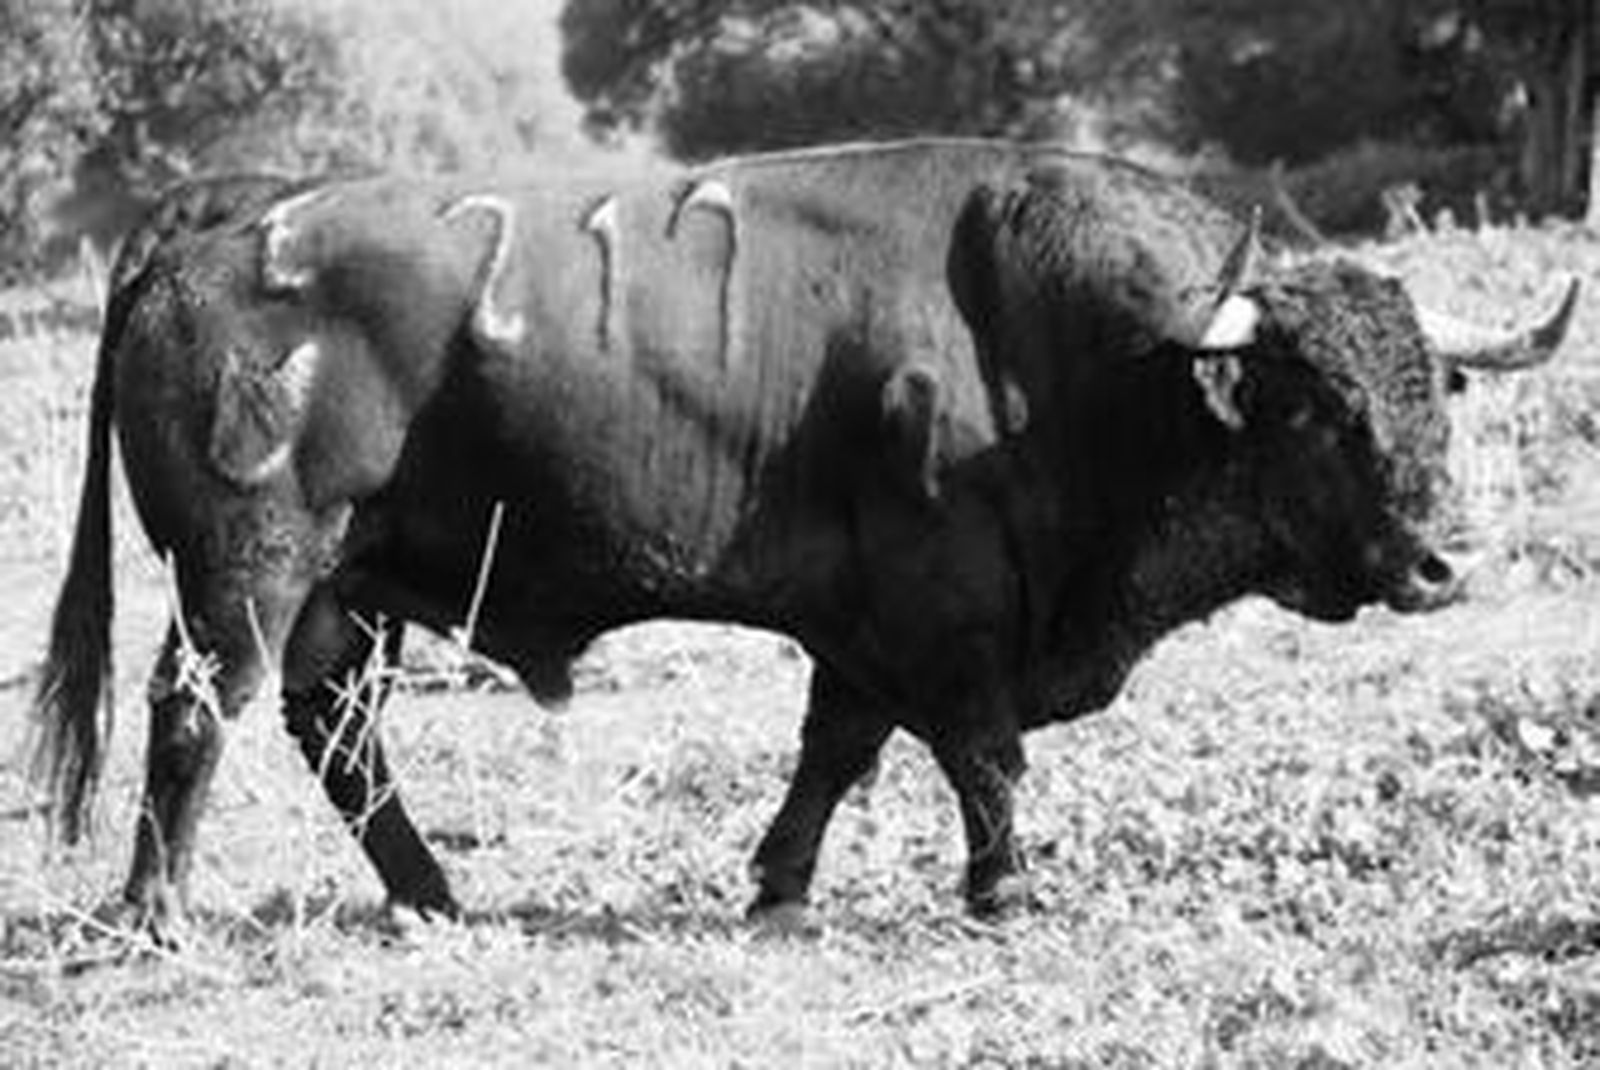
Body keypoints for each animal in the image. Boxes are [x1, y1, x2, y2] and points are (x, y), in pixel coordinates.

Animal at [30, 140, 1575, 939]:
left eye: (1433, 386)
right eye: (1316, 403)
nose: (1441, 561)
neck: (1049, 345)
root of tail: (229, 216)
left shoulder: (862, 624)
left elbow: (836, 748)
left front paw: (776, 886)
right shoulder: (946, 612)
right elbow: (980, 755)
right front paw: (1006, 888)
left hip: (347, 599)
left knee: (339, 737)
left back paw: (435, 895)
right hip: (247, 578)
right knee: (194, 715)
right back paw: (154, 915)